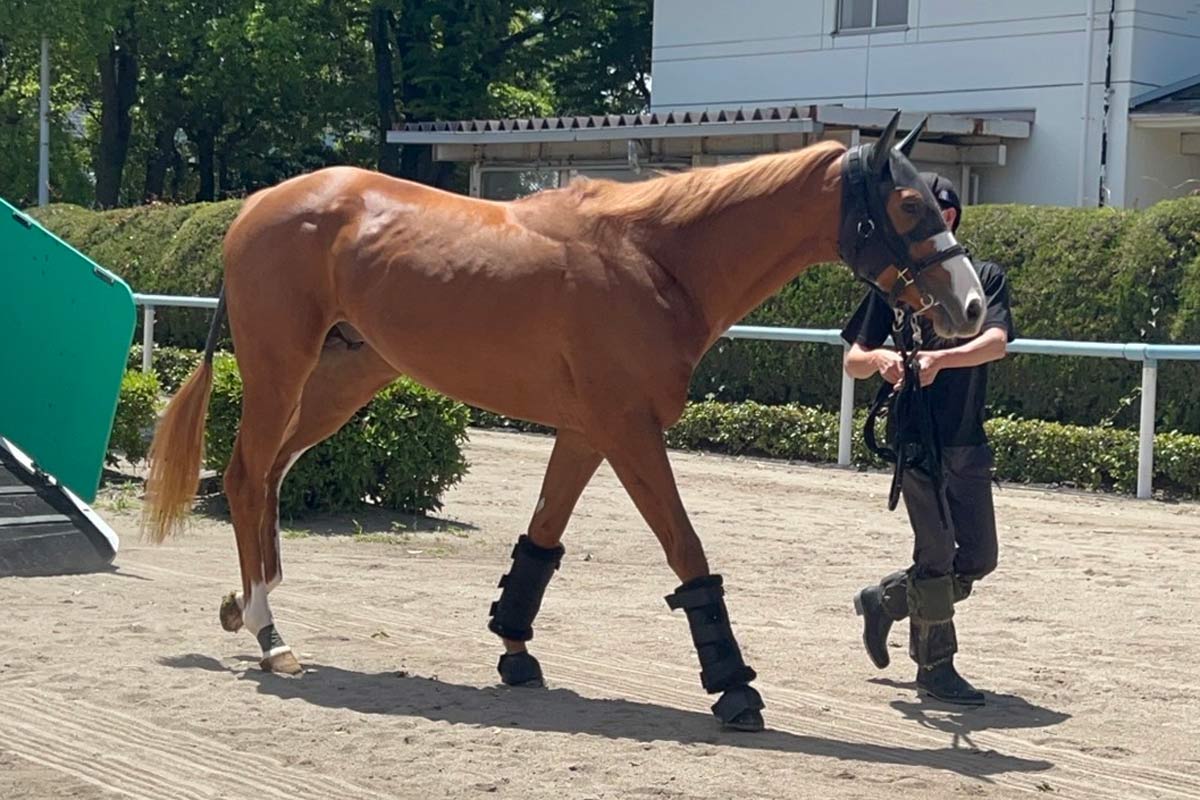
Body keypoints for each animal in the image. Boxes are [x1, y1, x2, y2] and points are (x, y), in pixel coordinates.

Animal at [141, 111, 984, 732]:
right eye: (909, 205)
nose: (970, 306)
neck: (654, 259)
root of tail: (256, 207)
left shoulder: (586, 433)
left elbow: (541, 540)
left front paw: (515, 649)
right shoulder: (628, 431)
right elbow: (686, 550)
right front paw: (734, 687)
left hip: (344, 378)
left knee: (269, 475)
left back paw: (247, 605)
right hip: (280, 369)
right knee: (248, 473)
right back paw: (268, 629)